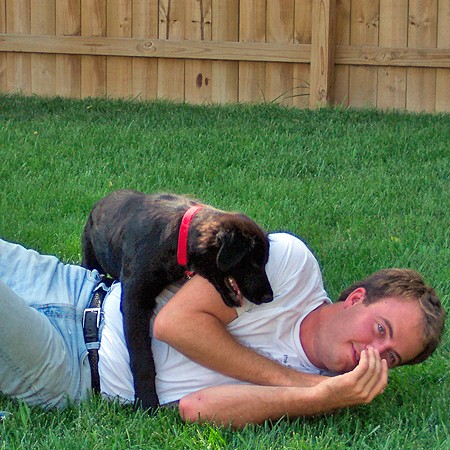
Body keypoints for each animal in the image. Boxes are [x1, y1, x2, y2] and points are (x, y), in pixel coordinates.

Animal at [81, 188, 272, 410]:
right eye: (254, 265)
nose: (270, 296)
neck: (178, 239)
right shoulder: (134, 301)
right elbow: (141, 357)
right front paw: (147, 402)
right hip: (90, 257)